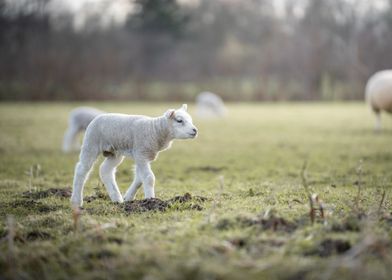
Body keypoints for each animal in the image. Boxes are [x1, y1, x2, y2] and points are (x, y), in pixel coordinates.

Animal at [70, 104, 198, 207]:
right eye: (179, 120)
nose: (195, 130)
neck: (155, 130)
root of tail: (97, 117)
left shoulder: (142, 155)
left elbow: (139, 178)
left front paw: (128, 197)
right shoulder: (141, 154)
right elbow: (149, 178)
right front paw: (151, 200)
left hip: (114, 152)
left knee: (105, 170)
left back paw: (117, 199)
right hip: (91, 144)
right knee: (81, 169)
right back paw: (76, 201)